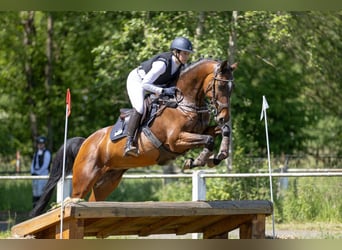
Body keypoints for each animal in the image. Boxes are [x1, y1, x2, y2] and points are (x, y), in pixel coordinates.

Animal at [30, 58, 235, 217]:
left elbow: (222, 131)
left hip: (107, 182)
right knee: (74, 197)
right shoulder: (175, 140)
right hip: (84, 178)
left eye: (231, 88)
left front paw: (219, 156)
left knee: (94, 200)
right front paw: (197, 161)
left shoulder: (201, 130)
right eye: (221, 85)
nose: (224, 116)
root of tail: (85, 143)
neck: (184, 101)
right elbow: (208, 140)